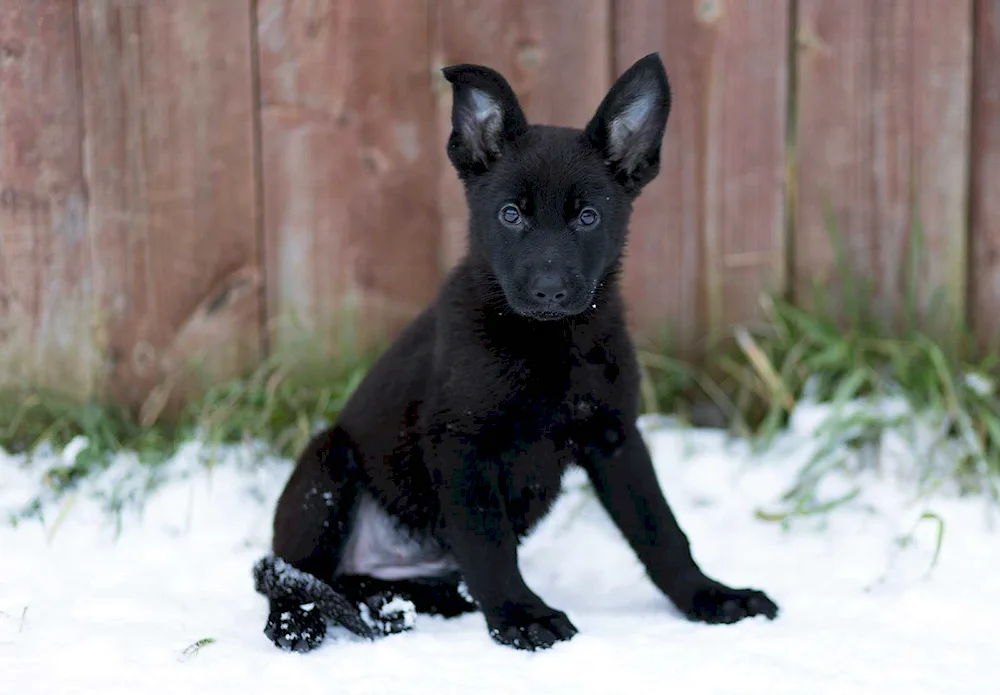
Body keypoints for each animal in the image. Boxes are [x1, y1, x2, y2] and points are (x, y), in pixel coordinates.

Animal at [254, 53, 776, 652]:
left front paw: (710, 596)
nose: (549, 291)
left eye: (588, 217)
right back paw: (297, 621)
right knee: (290, 574)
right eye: (510, 215)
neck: (547, 341)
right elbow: (489, 541)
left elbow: (659, 529)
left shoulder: (616, 435)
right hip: (324, 464)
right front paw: (521, 616)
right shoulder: (462, 445)